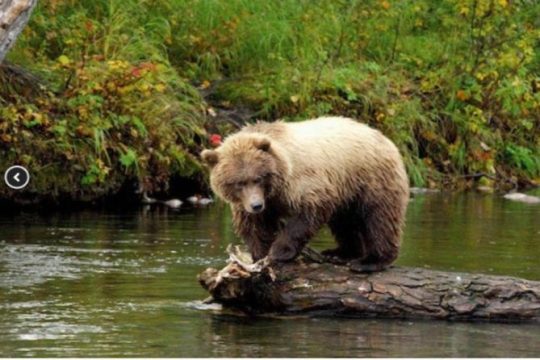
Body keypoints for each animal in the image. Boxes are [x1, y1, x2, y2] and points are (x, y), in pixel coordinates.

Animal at [200, 116, 408, 272]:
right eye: (238, 183)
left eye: (258, 178)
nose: (256, 205)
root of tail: (384, 138)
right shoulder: (250, 203)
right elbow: (254, 226)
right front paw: (260, 255)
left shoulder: (303, 182)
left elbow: (307, 213)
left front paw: (279, 251)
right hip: (346, 189)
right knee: (344, 222)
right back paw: (340, 253)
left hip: (370, 177)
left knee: (379, 217)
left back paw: (370, 261)